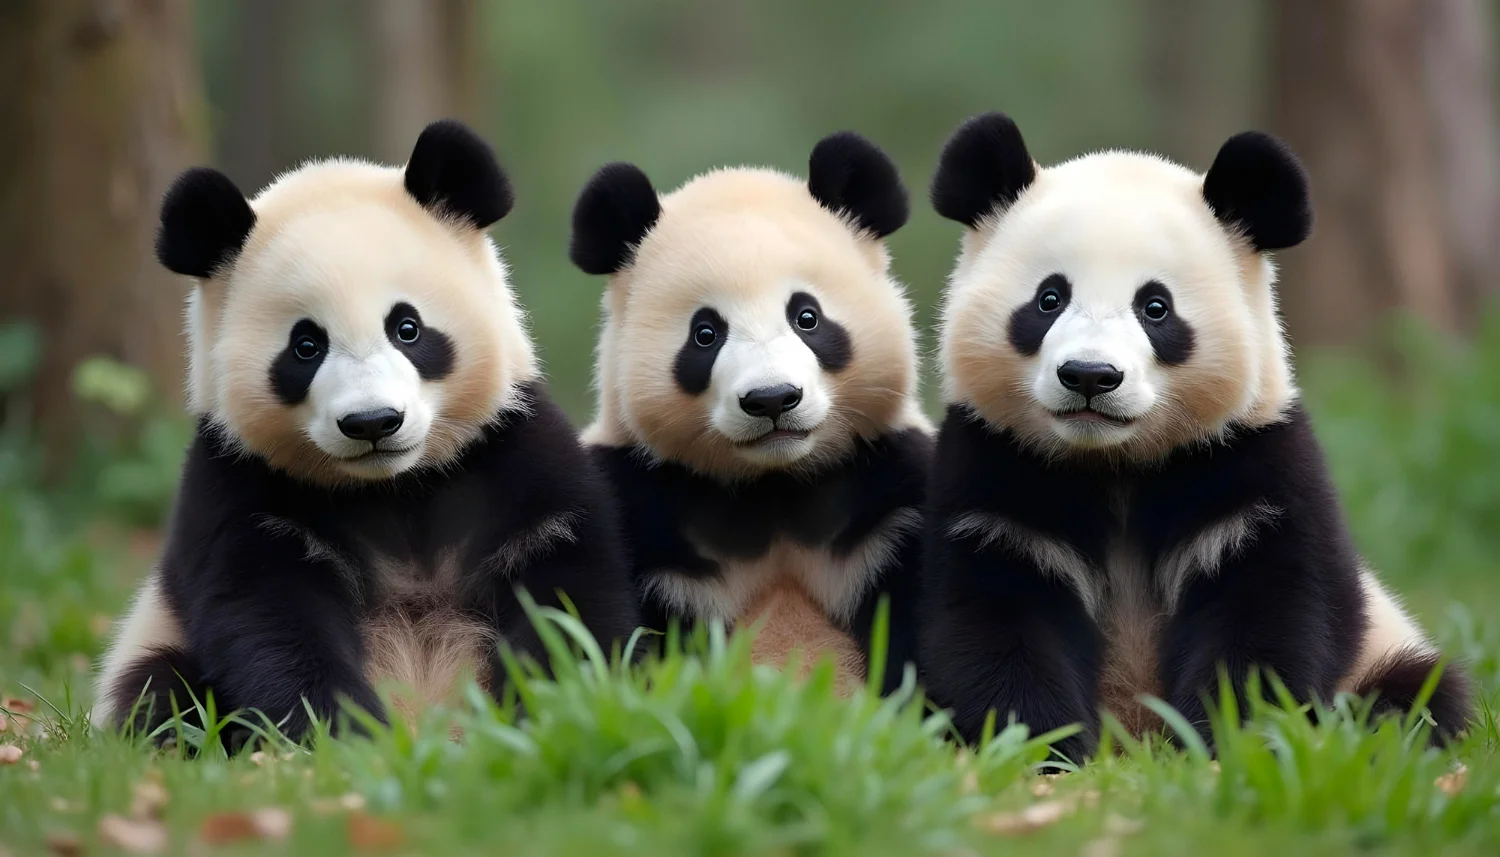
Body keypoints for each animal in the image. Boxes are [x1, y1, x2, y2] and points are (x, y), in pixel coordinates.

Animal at [93, 120, 639, 742]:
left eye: (408, 328)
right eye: (306, 346)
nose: (372, 422)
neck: (396, 487)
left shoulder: (516, 453)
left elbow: (567, 603)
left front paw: (545, 716)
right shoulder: (237, 486)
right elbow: (272, 622)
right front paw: (346, 736)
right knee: (161, 691)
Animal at [568, 132, 932, 693]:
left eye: (807, 317)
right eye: (705, 333)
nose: (772, 398)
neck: (772, 486)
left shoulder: (891, 494)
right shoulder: (634, 507)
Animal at [917, 112, 1474, 758]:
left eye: (1156, 308)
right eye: (1048, 299)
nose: (1090, 376)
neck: (1115, 463)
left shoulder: (1252, 461)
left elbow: (1270, 618)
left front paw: (1226, 742)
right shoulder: (996, 468)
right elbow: (995, 621)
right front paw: (1041, 749)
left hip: (1387, 648)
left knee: (1420, 693)